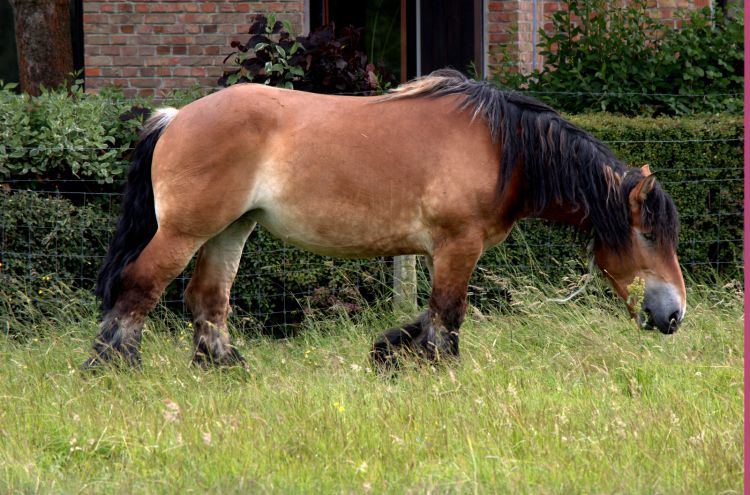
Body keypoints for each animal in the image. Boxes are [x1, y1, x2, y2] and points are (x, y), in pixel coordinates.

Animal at [82, 70, 688, 372]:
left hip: (231, 229)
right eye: (648, 233)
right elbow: (447, 317)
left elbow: (429, 316)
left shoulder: (444, 253)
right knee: (140, 288)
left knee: (207, 301)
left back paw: (228, 372)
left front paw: (388, 354)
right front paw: (437, 372)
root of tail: (176, 116)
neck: (505, 150)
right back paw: (115, 368)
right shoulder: (458, 246)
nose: (674, 315)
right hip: (185, 232)